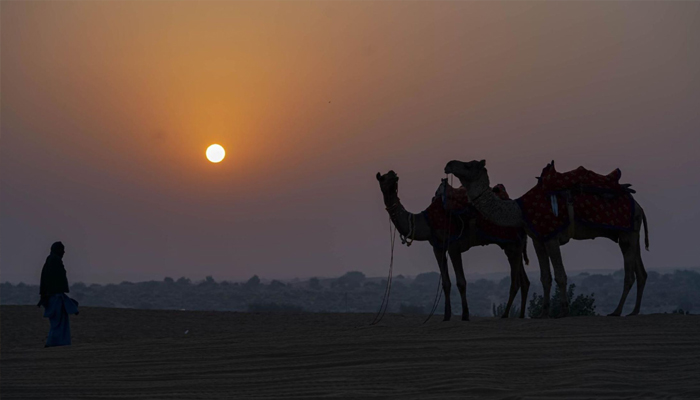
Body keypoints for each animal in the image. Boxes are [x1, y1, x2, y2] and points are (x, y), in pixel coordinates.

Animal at [378, 170, 532, 320]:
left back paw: (505, 314)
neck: (427, 221)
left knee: (516, 282)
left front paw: (465, 314)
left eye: (390, 176)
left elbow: (461, 282)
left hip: (513, 244)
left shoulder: (453, 246)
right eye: (383, 178)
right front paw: (446, 315)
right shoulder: (437, 248)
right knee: (524, 281)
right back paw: (520, 315)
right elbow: (446, 283)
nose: (394, 176)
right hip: (512, 246)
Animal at [442, 161, 652, 318]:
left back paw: (616, 311)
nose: (448, 165)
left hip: (628, 234)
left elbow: (560, 275)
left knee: (630, 274)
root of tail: (639, 207)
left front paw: (564, 311)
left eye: (468, 165)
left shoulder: (551, 236)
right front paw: (543, 313)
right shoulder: (537, 239)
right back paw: (634, 311)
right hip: (630, 232)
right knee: (641, 272)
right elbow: (545, 277)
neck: (519, 211)